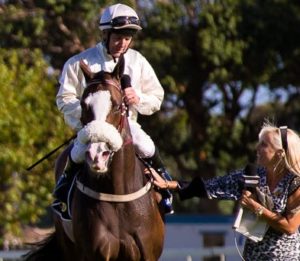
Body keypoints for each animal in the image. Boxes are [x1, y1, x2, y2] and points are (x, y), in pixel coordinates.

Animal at [24, 55, 165, 260]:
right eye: (84, 105)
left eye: (117, 105)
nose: (97, 154)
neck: (118, 196)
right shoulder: (93, 253)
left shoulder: (147, 254)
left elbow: (156, 94)